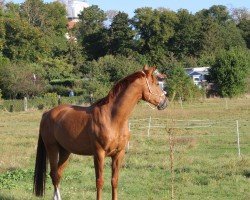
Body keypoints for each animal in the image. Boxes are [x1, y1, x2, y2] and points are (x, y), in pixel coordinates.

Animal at [32, 66, 166, 200]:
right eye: (156, 83)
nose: (165, 102)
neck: (112, 118)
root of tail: (47, 113)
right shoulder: (99, 154)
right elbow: (99, 182)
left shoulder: (119, 154)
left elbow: (114, 181)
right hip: (52, 148)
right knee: (54, 175)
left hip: (65, 151)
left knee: (58, 174)